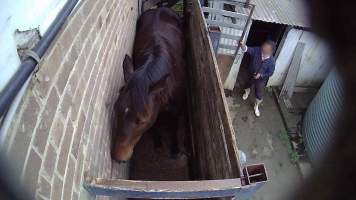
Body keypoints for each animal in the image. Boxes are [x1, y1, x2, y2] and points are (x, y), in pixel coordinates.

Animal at [112, 7, 186, 162]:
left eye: (141, 121)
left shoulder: (178, 108)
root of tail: (160, 8)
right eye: (116, 110)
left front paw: (175, 150)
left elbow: (175, 126)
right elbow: (155, 124)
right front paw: (158, 145)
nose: (117, 157)